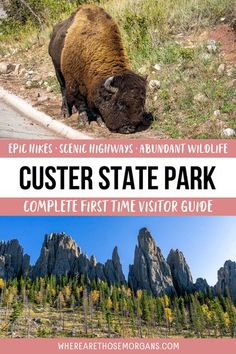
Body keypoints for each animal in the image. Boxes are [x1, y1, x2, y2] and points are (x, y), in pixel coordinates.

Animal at [48, 3, 152, 134]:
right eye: (120, 104)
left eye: (142, 103)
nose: (130, 128)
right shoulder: (74, 83)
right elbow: (81, 102)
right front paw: (83, 121)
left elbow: (95, 105)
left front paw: (100, 122)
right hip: (57, 70)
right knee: (63, 90)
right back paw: (65, 112)